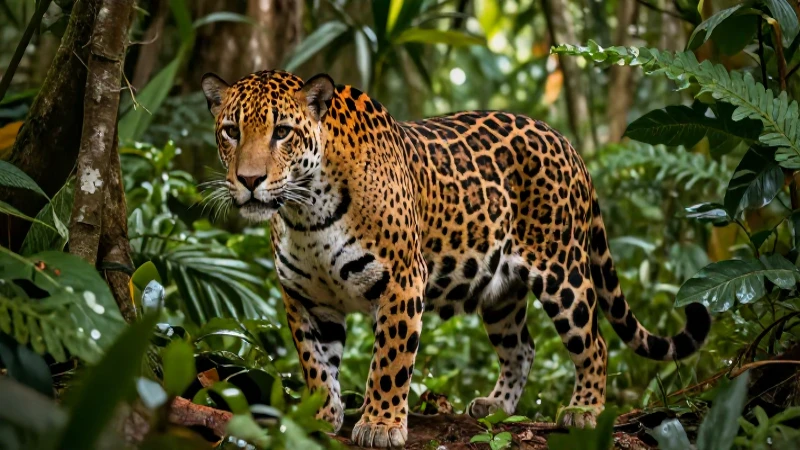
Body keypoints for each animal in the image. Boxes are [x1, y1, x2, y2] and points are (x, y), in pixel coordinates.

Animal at [201, 69, 711, 448]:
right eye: (231, 131)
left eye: (282, 133)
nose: (249, 180)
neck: (306, 213)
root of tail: (568, 146)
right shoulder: (305, 299)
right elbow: (315, 363)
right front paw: (321, 415)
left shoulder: (402, 280)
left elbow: (389, 362)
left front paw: (380, 425)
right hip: (501, 292)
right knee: (522, 347)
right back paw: (496, 406)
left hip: (562, 271)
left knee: (595, 343)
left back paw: (584, 410)